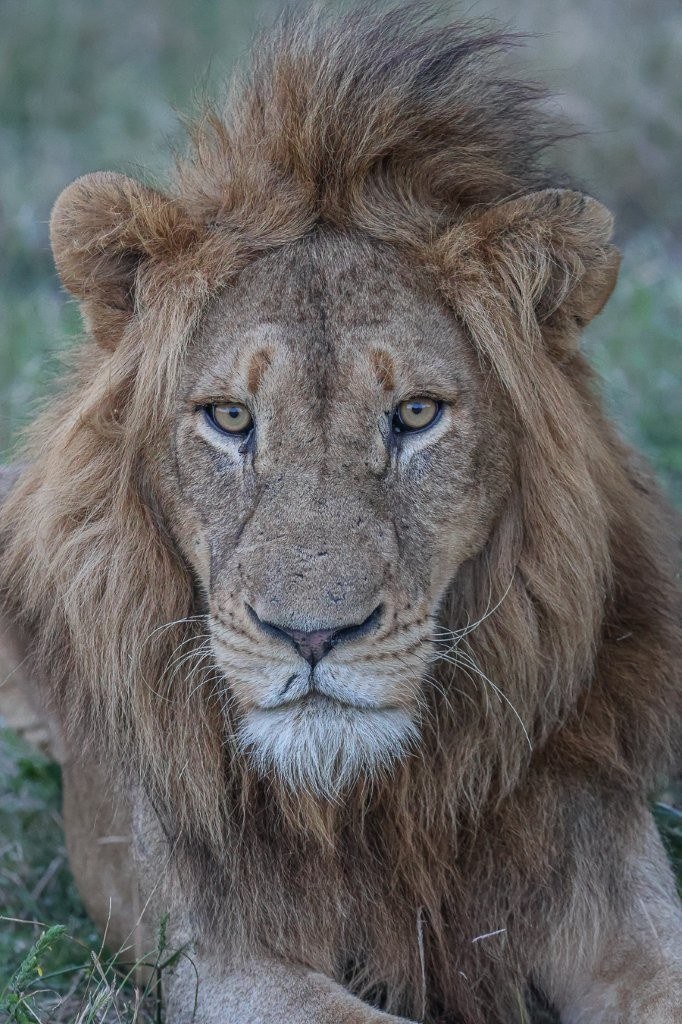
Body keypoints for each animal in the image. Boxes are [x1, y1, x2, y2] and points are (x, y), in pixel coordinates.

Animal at [1, 5, 681, 1023]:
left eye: (416, 415)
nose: (311, 636)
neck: (363, 802)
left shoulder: (609, 878)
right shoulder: (217, 956)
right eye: (230, 418)